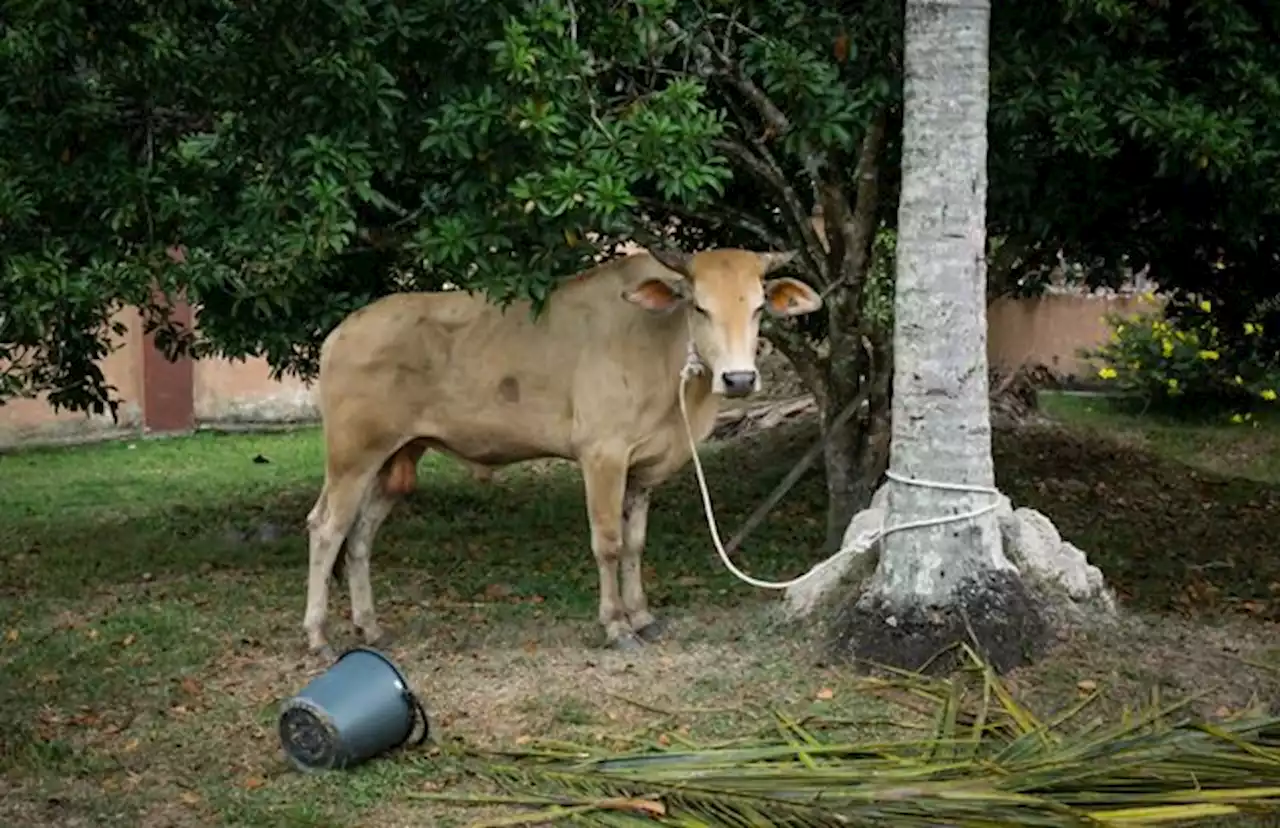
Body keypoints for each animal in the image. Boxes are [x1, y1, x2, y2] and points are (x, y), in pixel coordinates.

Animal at [302, 243, 819, 655]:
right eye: (699, 307)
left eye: (758, 308)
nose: (740, 379)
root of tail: (341, 332)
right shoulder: (602, 455)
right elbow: (608, 543)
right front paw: (616, 625)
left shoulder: (643, 468)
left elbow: (635, 542)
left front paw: (643, 616)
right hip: (351, 457)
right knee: (327, 528)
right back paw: (318, 635)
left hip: (396, 459)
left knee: (361, 536)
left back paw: (370, 628)